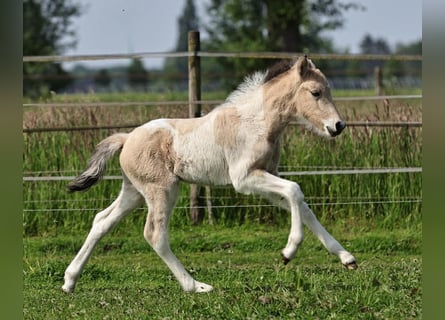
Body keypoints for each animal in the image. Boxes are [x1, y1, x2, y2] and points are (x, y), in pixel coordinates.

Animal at [62, 56, 356, 294]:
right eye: (316, 92)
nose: (338, 126)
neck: (256, 122)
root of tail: (126, 138)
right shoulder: (245, 178)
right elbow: (295, 190)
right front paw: (288, 252)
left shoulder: (267, 177)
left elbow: (303, 207)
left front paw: (347, 258)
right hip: (162, 190)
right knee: (154, 234)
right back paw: (196, 286)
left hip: (134, 191)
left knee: (102, 221)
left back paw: (69, 281)